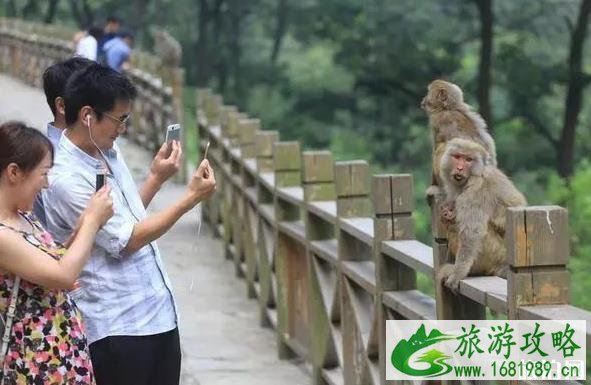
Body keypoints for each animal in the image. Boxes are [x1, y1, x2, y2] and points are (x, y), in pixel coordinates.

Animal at [434, 138, 528, 292]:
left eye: (468, 159)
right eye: (457, 157)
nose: (460, 168)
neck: (474, 174)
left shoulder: (477, 190)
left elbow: (472, 232)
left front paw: (458, 273)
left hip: (496, 255)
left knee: (458, 226)